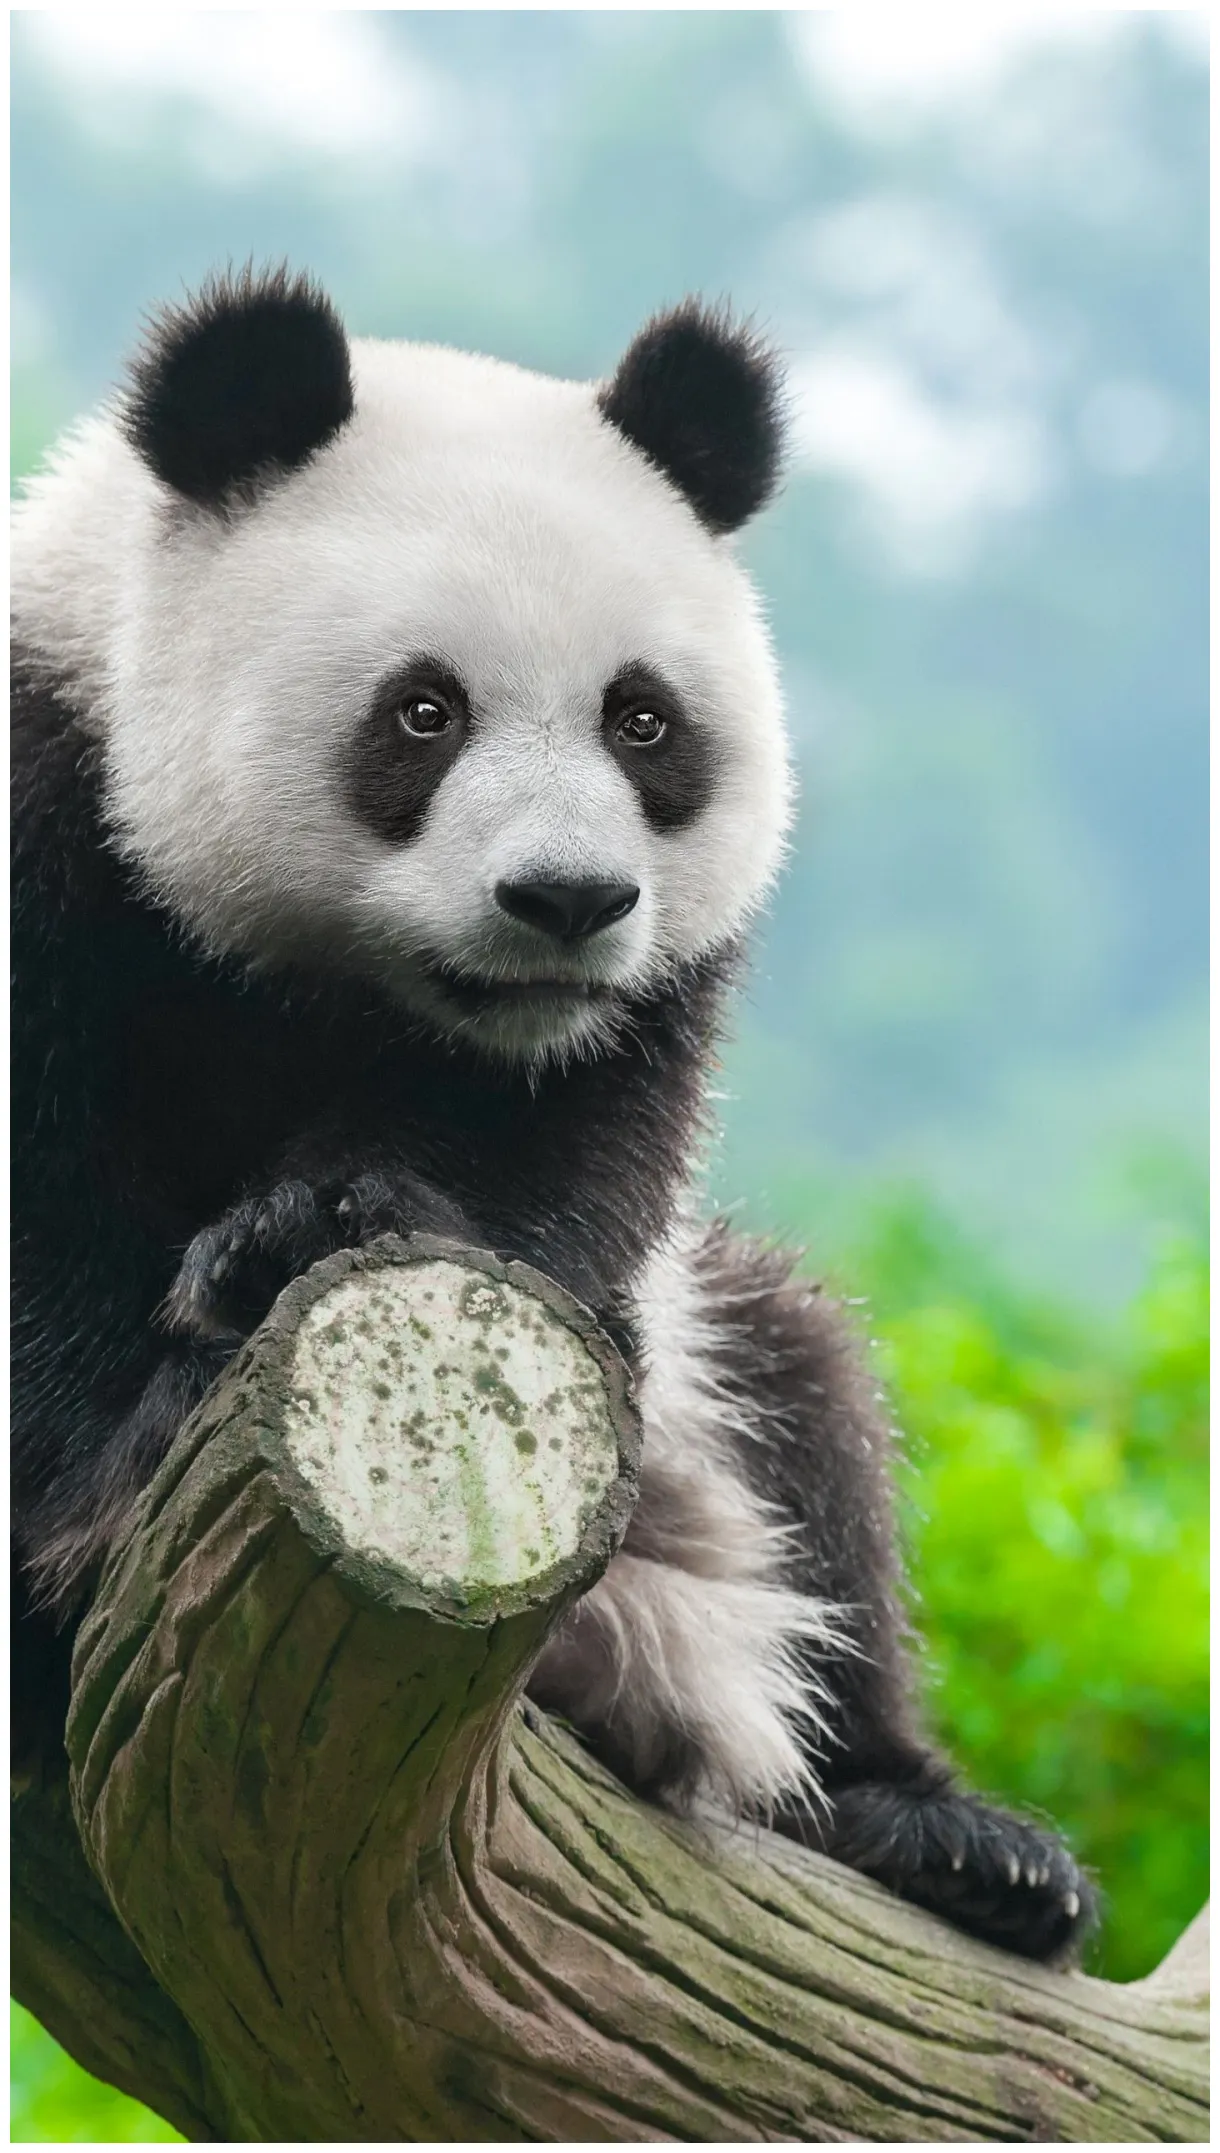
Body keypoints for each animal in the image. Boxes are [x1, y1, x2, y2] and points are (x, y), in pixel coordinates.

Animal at [12, 263, 1094, 1962]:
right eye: (423, 712)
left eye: (642, 722)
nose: (568, 900)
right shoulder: (49, 806)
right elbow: (42, 1210)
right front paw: (109, 1481)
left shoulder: (624, 1022)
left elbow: (550, 1170)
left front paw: (314, 1224)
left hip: (713, 1432)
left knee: (810, 1409)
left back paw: (953, 1840)